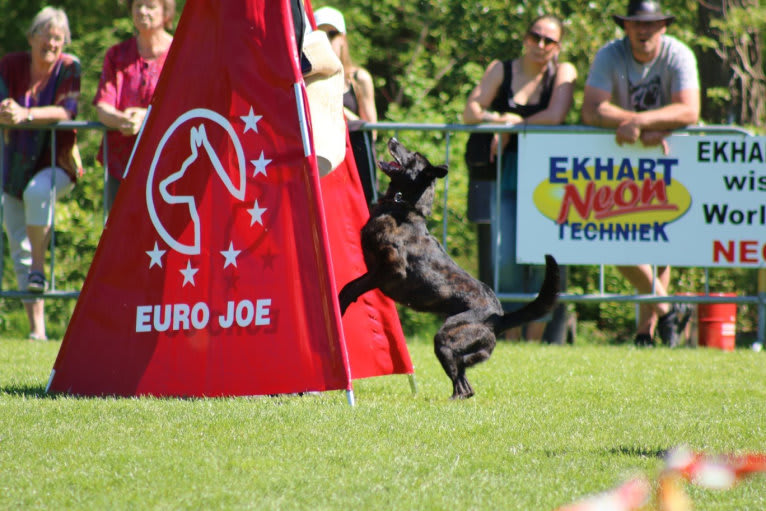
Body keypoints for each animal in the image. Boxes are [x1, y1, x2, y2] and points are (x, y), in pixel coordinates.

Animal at [340, 139, 560, 400]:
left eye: (413, 155)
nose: (393, 140)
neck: (403, 207)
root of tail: (499, 317)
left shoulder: (390, 271)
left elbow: (354, 287)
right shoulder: (374, 269)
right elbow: (348, 285)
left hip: (445, 338)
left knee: (461, 376)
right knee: (465, 384)